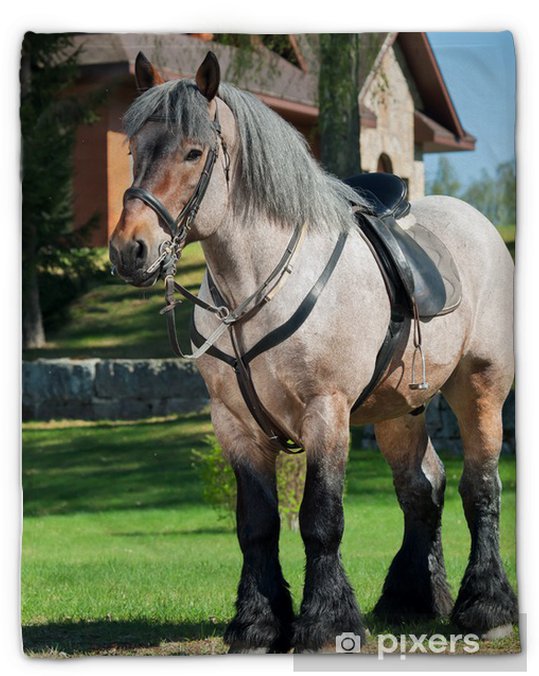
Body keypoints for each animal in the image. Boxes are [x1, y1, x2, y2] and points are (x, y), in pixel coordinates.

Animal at [109, 50, 517, 653]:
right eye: (133, 149)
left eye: (194, 152)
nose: (129, 250)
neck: (255, 289)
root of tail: (479, 225)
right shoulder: (235, 425)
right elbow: (256, 524)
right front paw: (257, 622)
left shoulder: (326, 412)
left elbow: (321, 518)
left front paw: (327, 621)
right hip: (400, 411)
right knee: (422, 489)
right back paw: (412, 599)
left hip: (480, 386)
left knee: (480, 487)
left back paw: (486, 607)